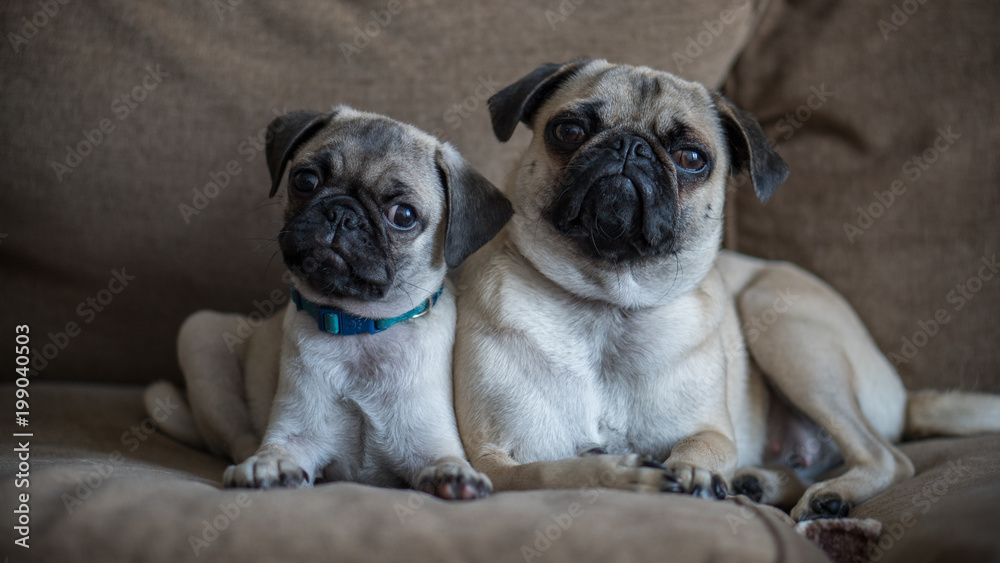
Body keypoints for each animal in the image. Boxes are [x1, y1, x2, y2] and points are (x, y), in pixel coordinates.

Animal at [145, 107, 512, 502]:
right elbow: (278, 446)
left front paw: (456, 475)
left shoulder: (429, 443)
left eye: (403, 215)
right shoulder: (296, 432)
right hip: (200, 335)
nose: (342, 213)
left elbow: (446, 459)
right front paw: (270, 464)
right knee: (240, 438)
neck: (358, 326)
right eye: (305, 180)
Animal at [458, 57, 1000, 520]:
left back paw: (825, 497)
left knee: (887, 457)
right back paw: (758, 484)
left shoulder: (713, 430)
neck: (607, 303)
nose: (630, 145)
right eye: (568, 130)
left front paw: (692, 472)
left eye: (692, 157)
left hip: (780, 322)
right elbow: (554, 471)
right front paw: (624, 473)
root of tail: (904, 400)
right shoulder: (491, 463)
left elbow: (701, 446)